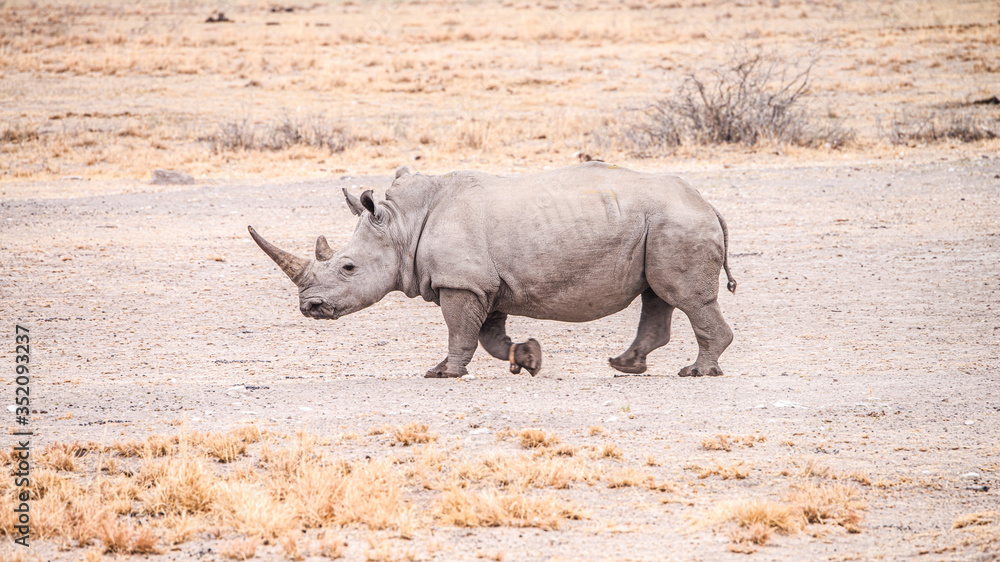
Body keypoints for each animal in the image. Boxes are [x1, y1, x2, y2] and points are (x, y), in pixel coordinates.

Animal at [249, 162, 736, 378]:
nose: (309, 307)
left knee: (684, 297)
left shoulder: (461, 282)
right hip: (662, 224)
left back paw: (696, 372)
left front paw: (443, 373)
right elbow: (488, 335)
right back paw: (626, 365)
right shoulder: (486, 284)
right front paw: (528, 358)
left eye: (347, 267)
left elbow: (459, 330)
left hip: (677, 223)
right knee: (658, 294)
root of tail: (708, 203)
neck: (403, 225)